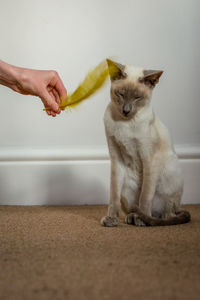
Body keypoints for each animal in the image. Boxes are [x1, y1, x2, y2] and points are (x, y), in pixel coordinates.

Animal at [101, 58, 191, 226]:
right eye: (120, 94)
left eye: (137, 97)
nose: (126, 110)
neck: (126, 123)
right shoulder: (116, 157)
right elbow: (113, 195)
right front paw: (111, 219)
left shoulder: (149, 158)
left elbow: (145, 195)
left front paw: (141, 219)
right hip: (126, 189)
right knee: (138, 208)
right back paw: (131, 217)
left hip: (169, 174)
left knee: (164, 215)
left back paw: (143, 218)